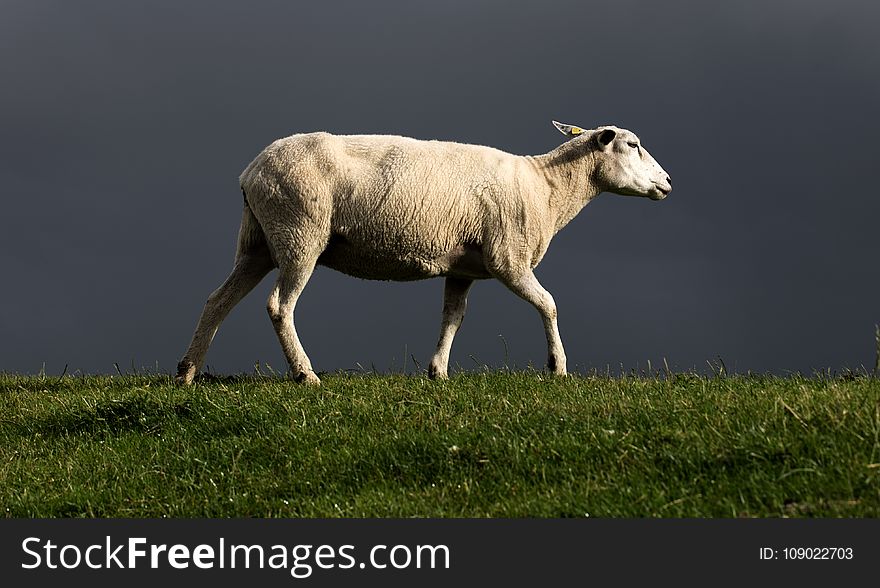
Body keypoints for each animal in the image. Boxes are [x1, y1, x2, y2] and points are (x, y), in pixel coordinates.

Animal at [177, 121, 672, 384]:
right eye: (632, 144)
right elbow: (549, 304)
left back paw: (187, 371)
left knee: (217, 301)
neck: (546, 187)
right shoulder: (507, 258)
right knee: (279, 305)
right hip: (300, 231)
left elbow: (453, 316)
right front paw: (558, 367)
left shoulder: (465, 267)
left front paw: (438, 372)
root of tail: (250, 172)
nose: (668, 182)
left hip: (259, 242)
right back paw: (305, 375)